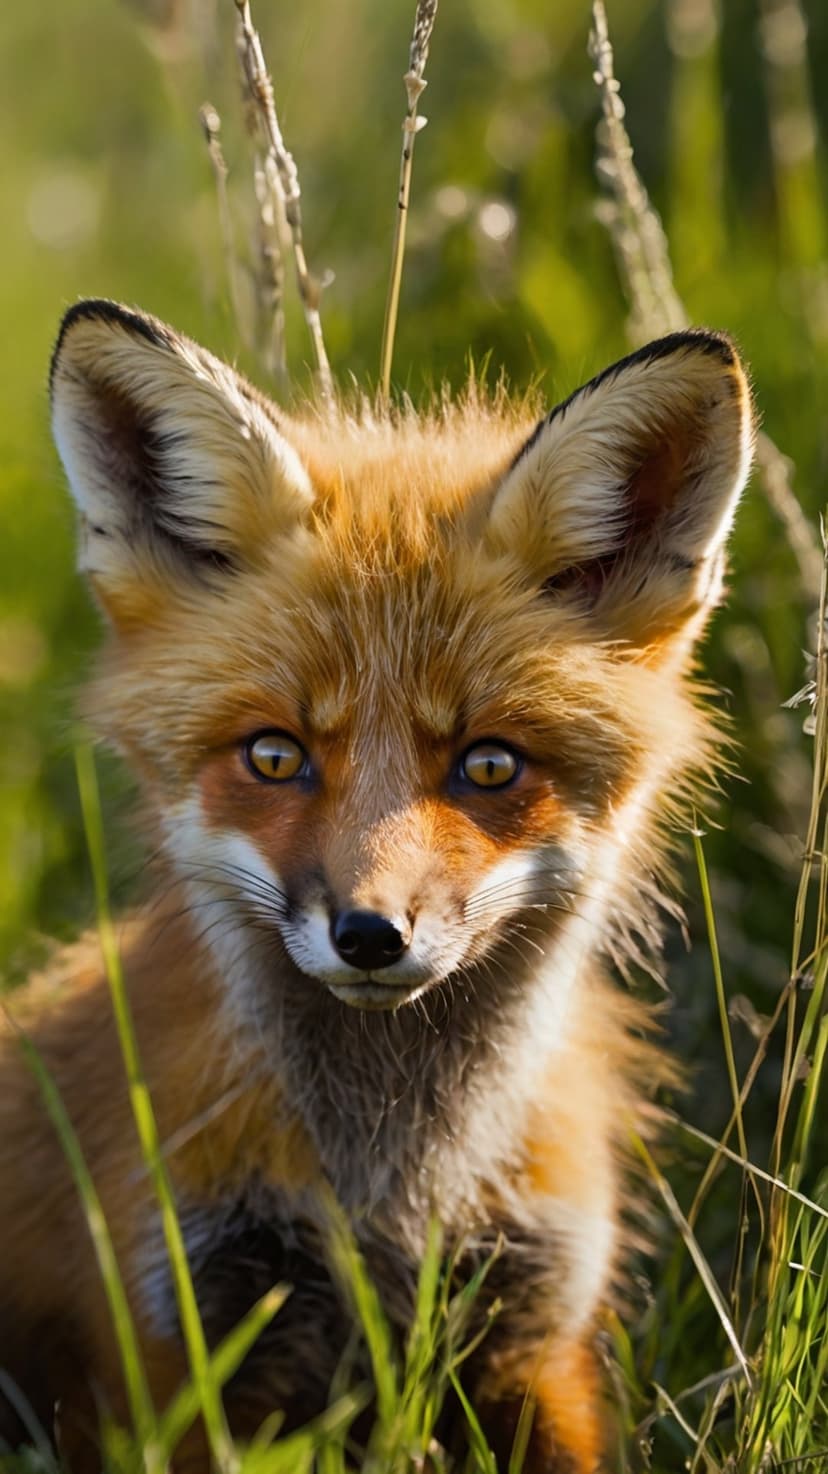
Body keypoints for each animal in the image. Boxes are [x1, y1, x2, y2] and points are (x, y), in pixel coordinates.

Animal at [0, 298, 754, 1471]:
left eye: (488, 765)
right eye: (275, 756)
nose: (369, 933)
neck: (392, 1194)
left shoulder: (537, 1337)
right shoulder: (184, 1350)